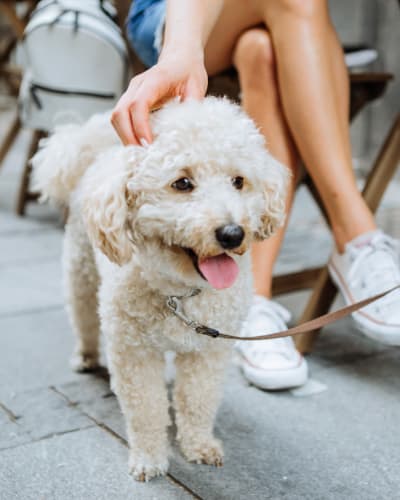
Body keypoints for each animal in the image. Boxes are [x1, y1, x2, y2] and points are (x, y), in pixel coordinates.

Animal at [31, 95, 288, 482]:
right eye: (182, 183)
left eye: (239, 181)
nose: (232, 234)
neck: (178, 293)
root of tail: (96, 151)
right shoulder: (135, 353)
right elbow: (147, 409)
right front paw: (150, 459)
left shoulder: (207, 352)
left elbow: (197, 400)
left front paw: (199, 446)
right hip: (81, 269)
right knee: (83, 316)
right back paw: (86, 356)